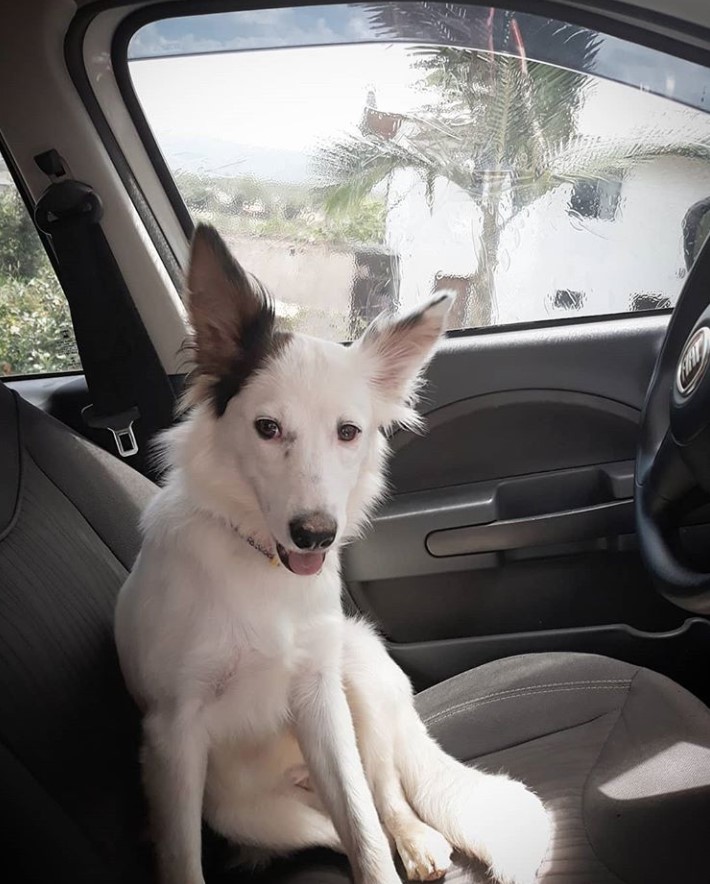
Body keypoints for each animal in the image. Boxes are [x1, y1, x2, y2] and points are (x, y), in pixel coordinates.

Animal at [115, 224, 552, 884]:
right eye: (267, 428)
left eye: (348, 432)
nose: (316, 535)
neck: (262, 568)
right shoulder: (173, 736)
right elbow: (185, 859)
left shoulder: (321, 701)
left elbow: (367, 829)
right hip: (257, 815)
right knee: (335, 827)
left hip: (358, 679)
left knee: (382, 798)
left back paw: (418, 842)